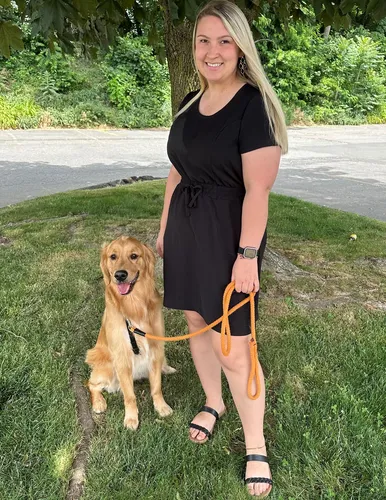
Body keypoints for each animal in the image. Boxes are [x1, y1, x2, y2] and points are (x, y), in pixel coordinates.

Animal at [86, 237, 175, 430]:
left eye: (134, 256)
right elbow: (129, 396)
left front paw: (161, 407)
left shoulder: (155, 349)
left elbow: (156, 388)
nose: (120, 275)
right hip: (106, 367)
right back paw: (99, 403)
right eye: (113, 256)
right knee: (92, 384)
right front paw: (131, 418)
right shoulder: (122, 358)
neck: (134, 304)